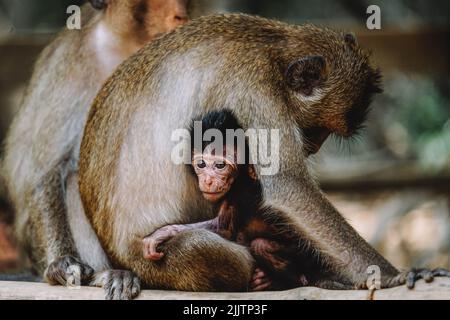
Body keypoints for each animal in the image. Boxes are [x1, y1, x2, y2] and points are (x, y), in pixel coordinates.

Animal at [3, 0, 193, 300]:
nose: (180, 14)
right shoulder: (72, 62)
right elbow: (45, 169)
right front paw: (62, 262)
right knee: (70, 180)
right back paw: (107, 275)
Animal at [80, 13, 450, 292]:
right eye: (317, 129)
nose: (314, 145)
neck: (277, 47)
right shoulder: (256, 90)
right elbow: (289, 187)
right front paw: (392, 276)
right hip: (156, 266)